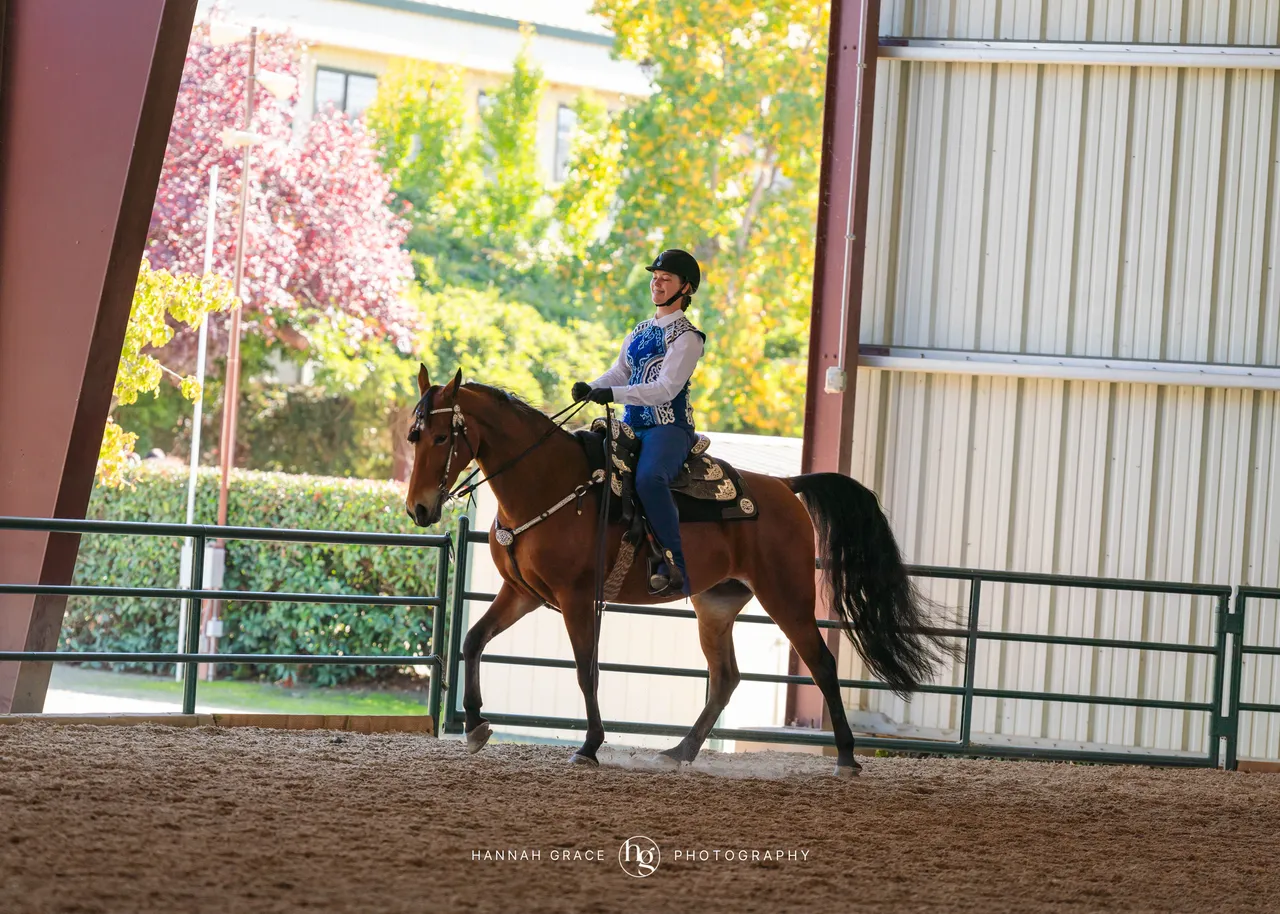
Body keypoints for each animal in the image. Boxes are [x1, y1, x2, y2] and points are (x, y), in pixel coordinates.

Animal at [404, 366, 953, 776]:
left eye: (441, 435)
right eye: (414, 436)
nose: (418, 509)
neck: (550, 485)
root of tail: (784, 484)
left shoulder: (577, 598)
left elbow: (586, 669)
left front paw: (590, 745)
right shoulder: (522, 592)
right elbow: (473, 640)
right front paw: (475, 724)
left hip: (787, 598)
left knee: (821, 663)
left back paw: (846, 757)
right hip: (716, 605)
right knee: (726, 677)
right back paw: (680, 751)